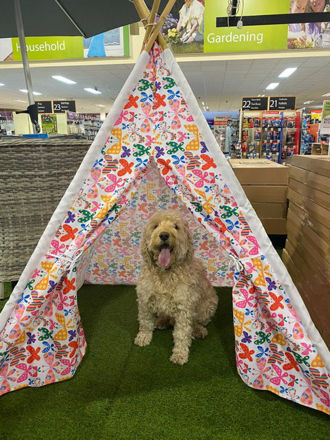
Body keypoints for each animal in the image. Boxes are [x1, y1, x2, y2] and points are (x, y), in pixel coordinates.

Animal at [135, 210, 219, 364]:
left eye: (176, 227)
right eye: (155, 226)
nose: (164, 235)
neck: (165, 272)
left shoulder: (183, 307)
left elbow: (182, 333)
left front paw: (180, 354)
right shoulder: (145, 299)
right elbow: (145, 322)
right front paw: (143, 336)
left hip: (209, 305)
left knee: (198, 322)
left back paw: (198, 330)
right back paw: (161, 321)